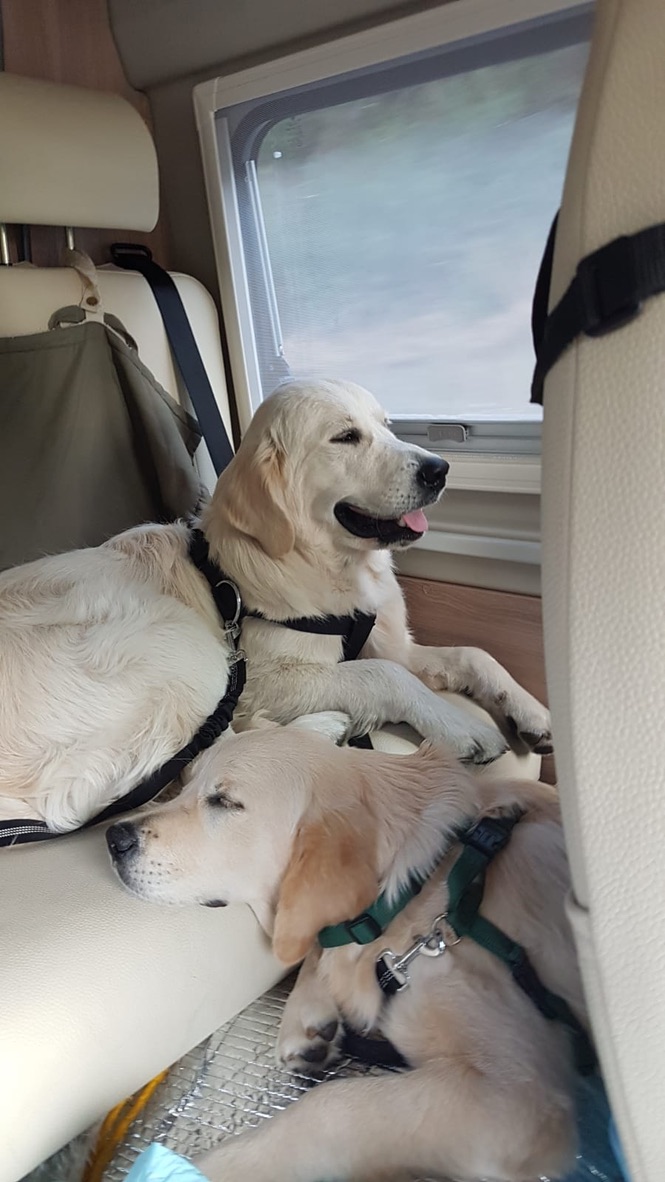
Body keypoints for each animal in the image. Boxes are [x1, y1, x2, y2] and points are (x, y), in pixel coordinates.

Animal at [0, 377, 548, 833]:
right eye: (345, 437)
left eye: (386, 425)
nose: (440, 469)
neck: (320, 565)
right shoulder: (262, 679)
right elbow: (385, 676)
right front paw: (462, 728)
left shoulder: (393, 643)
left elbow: (471, 655)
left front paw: (531, 712)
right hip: (177, 643)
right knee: (206, 756)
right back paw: (322, 728)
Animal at [107, 714, 586, 1182]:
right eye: (185, 782)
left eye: (224, 802)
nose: (113, 838)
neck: (423, 891)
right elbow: (315, 946)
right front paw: (308, 1019)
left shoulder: (517, 1098)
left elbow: (331, 1105)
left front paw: (200, 1167)